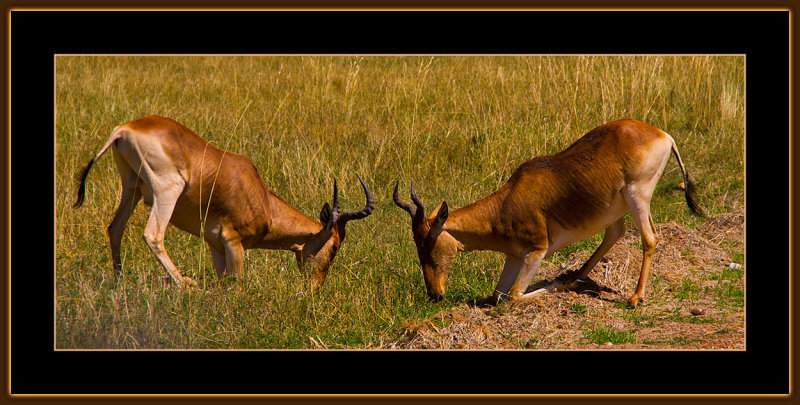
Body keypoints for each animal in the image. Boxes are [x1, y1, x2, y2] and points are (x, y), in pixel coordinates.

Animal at [73, 115, 374, 288]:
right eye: (334, 247)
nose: (315, 288)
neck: (261, 197)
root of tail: (124, 129)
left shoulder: (215, 244)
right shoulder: (233, 242)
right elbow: (237, 285)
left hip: (131, 187)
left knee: (115, 228)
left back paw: (119, 280)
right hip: (167, 190)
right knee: (153, 234)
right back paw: (184, 284)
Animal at [396, 118, 704, 308]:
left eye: (429, 243)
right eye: (416, 243)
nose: (435, 294)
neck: (508, 200)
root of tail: (664, 136)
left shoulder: (537, 251)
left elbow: (513, 296)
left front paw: (559, 285)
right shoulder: (514, 257)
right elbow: (498, 295)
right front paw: (566, 281)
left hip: (637, 195)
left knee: (649, 238)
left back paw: (633, 298)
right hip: (617, 207)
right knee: (615, 233)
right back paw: (576, 275)